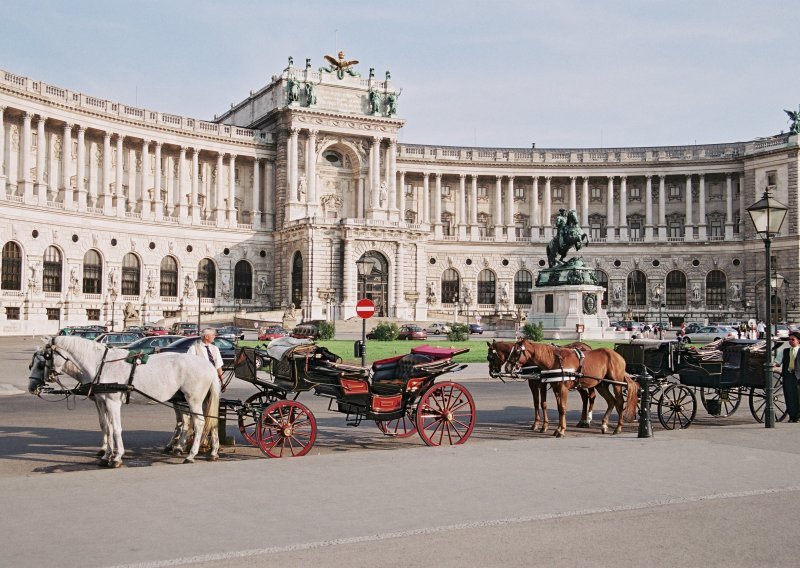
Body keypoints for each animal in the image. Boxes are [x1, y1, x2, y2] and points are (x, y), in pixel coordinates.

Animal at [34, 338, 217, 466]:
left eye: (44, 359)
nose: (37, 385)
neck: (100, 365)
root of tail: (209, 366)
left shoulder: (113, 402)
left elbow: (116, 429)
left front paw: (116, 457)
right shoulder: (102, 401)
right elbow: (107, 428)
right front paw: (106, 455)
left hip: (193, 399)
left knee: (199, 423)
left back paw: (191, 455)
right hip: (185, 399)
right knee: (204, 422)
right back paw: (211, 451)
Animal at [506, 340, 636, 438]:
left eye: (517, 351)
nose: (507, 367)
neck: (555, 361)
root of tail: (617, 355)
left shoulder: (562, 388)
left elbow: (562, 408)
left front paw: (561, 430)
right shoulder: (556, 388)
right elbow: (559, 408)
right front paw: (558, 429)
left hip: (616, 383)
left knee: (619, 402)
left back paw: (617, 427)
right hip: (601, 385)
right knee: (611, 401)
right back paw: (603, 424)